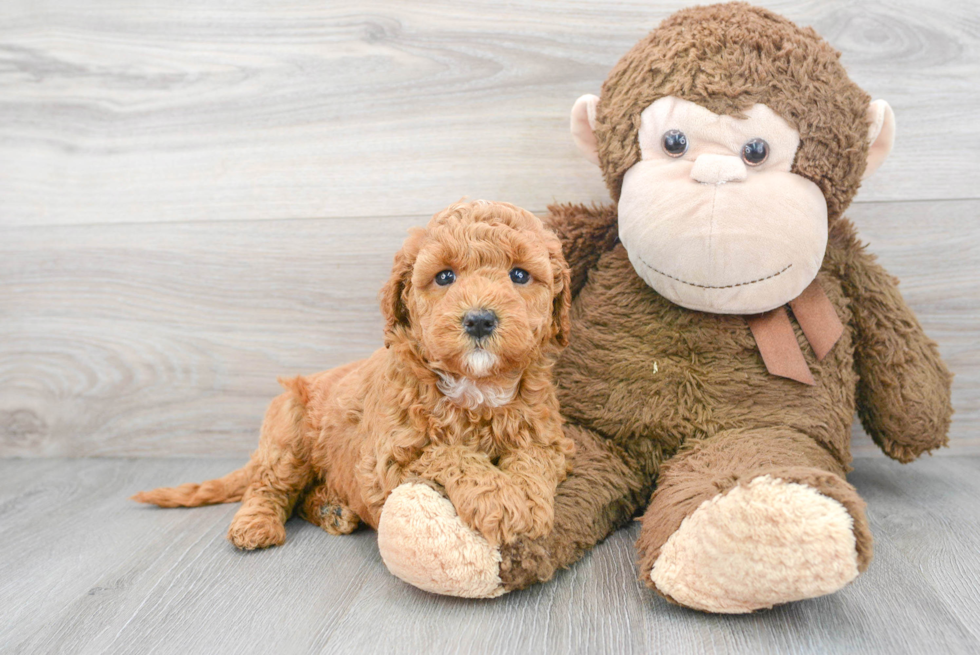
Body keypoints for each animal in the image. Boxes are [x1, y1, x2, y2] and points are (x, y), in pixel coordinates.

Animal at [132, 201, 576, 552]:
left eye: (519, 275)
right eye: (445, 276)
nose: (480, 320)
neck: (476, 387)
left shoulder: (546, 436)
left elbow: (534, 461)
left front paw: (529, 503)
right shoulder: (386, 463)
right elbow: (448, 452)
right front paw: (501, 500)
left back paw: (331, 508)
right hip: (287, 435)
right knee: (269, 486)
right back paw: (255, 525)